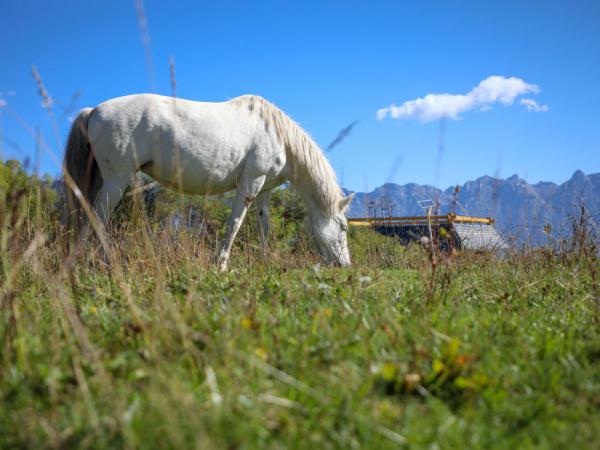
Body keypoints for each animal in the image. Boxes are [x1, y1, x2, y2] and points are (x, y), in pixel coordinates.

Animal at [64, 94, 356, 270]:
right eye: (343, 227)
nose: (345, 266)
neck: (277, 135)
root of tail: (93, 111)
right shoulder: (251, 183)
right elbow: (234, 224)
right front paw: (221, 266)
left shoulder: (264, 189)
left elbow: (264, 227)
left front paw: (264, 263)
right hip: (116, 181)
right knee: (98, 219)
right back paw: (108, 264)